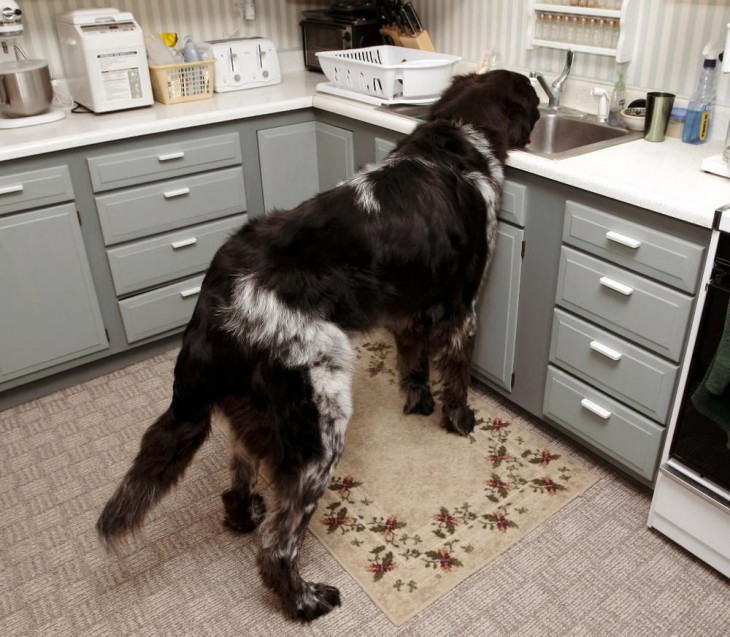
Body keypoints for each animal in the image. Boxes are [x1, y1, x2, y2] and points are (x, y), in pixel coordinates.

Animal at [96, 71, 536, 620]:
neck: (456, 137)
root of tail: (214, 304)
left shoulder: (408, 309)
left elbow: (414, 366)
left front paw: (418, 404)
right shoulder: (462, 310)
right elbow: (456, 379)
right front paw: (459, 421)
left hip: (254, 413)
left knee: (238, 480)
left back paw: (244, 515)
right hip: (321, 426)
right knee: (277, 545)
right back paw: (305, 601)